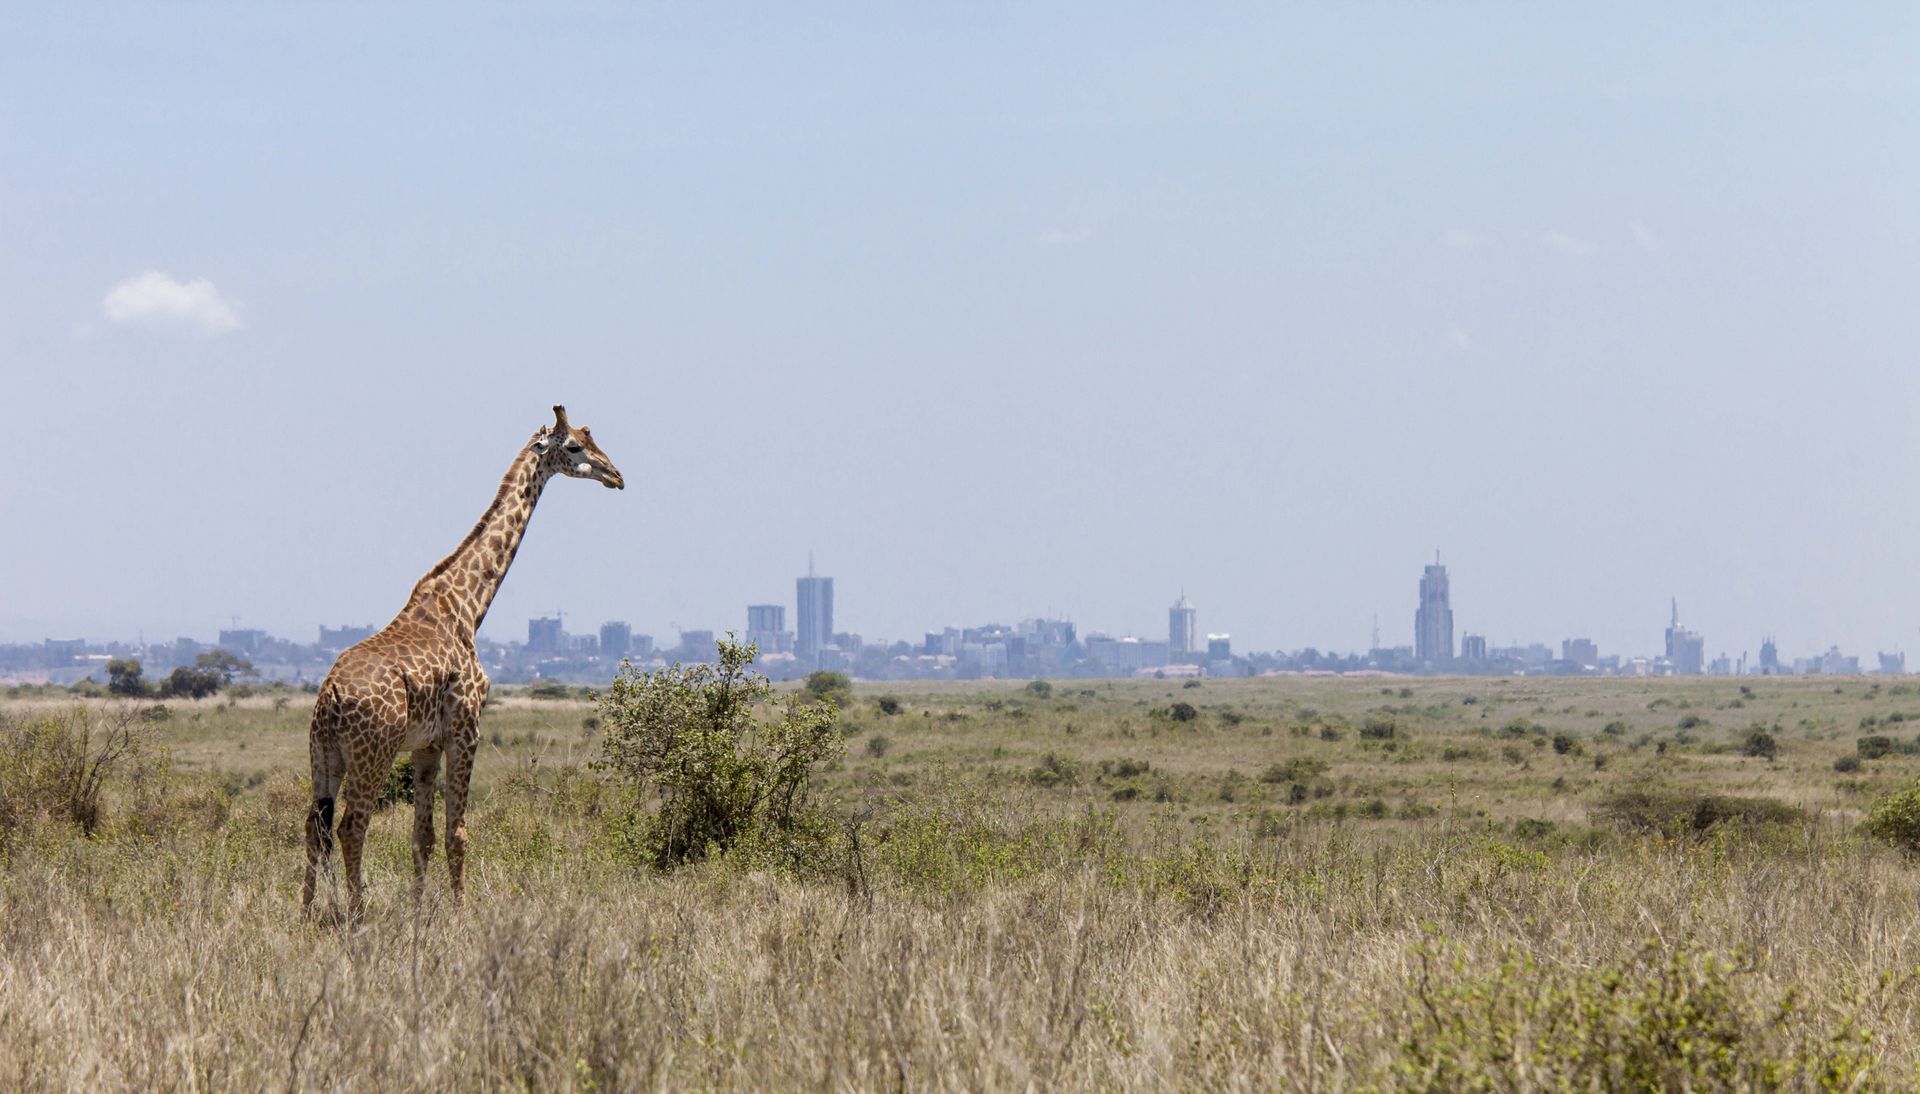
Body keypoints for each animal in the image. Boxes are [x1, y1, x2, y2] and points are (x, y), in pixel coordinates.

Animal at [302, 405, 624, 921]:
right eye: (574, 445)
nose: (616, 476)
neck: (469, 605)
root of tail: (330, 697)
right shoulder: (466, 727)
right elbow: (457, 834)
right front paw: (459, 914)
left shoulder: (427, 744)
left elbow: (423, 836)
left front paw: (418, 914)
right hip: (372, 753)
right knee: (352, 827)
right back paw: (358, 916)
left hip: (323, 753)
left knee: (314, 827)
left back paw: (306, 913)